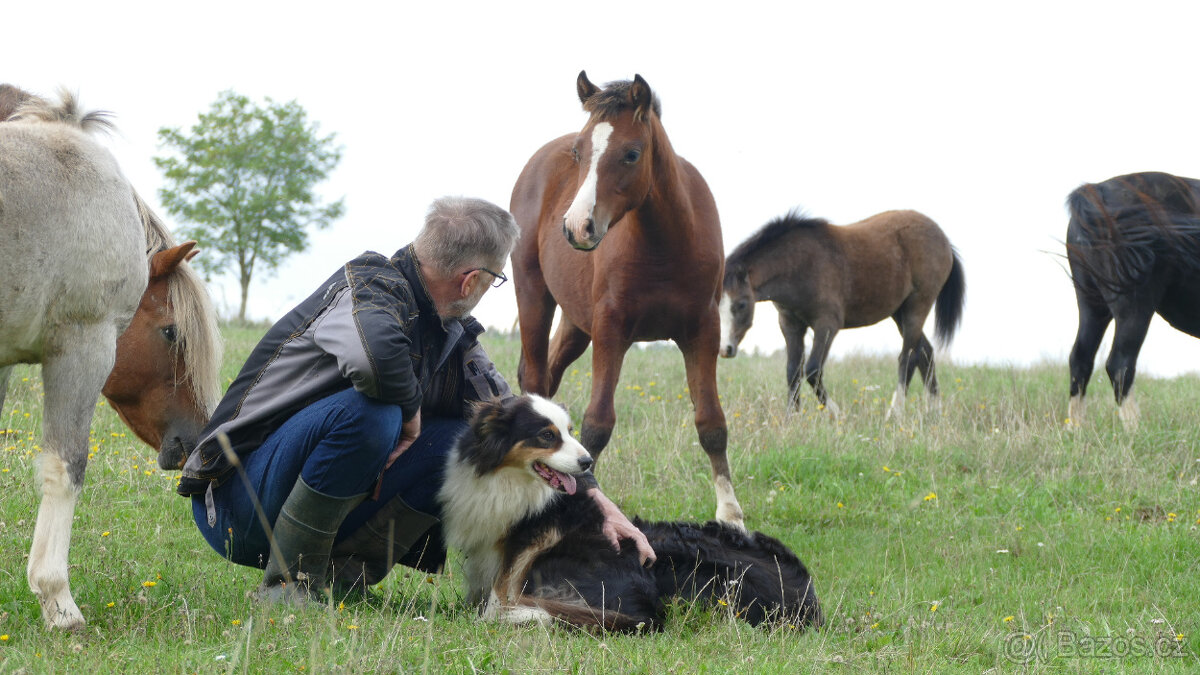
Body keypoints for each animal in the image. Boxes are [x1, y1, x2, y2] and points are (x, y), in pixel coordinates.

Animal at [510, 72, 744, 528]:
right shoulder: (611, 329)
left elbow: (712, 422)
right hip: (533, 295)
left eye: (632, 154)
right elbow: (598, 423)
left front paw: (731, 516)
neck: (666, 243)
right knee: (534, 377)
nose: (576, 227)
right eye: (579, 152)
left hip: (576, 325)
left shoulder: (703, 331)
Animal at [719, 210, 965, 420]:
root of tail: (944, 239)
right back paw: (934, 412)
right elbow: (792, 372)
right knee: (926, 352)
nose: (725, 349)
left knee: (908, 358)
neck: (800, 264)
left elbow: (812, 369)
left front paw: (837, 415)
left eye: (741, 304)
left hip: (918, 305)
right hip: (900, 313)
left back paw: (894, 413)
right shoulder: (790, 324)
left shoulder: (827, 324)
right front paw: (792, 420)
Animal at [1065, 171, 1200, 429]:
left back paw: (1075, 429)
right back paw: (1137, 430)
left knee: (1080, 358)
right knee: (1119, 363)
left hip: (1091, 303)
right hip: (1135, 305)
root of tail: (1096, 191)